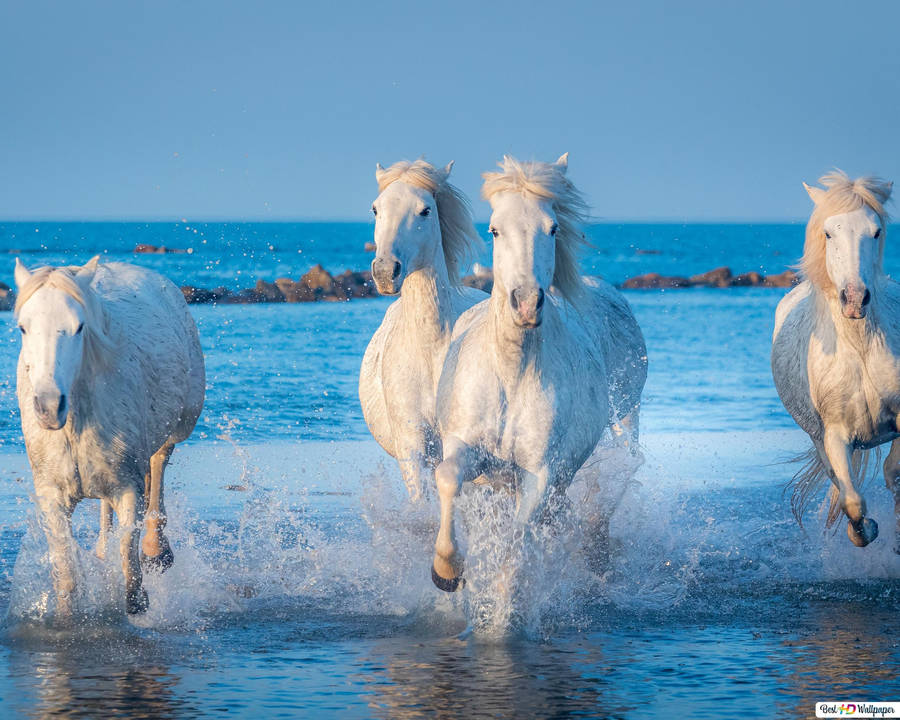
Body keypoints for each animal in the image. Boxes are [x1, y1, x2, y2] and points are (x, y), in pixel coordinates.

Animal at [13, 256, 204, 616]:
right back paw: (102, 550)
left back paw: (157, 549)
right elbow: (67, 574)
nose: (48, 407)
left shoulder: (128, 487)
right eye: (23, 327)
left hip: (179, 424)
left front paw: (139, 599)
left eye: (79, 327)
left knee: (159, 464)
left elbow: (129, 562)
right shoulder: (52, 496)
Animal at [430, 153, 648, 592]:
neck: (512, 376)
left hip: (625, 420)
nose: (527, 303)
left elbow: (517, 542)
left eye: (553, 228)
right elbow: (446, 477)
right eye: (494, 229)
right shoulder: (467, 448)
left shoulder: (539, 475)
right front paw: (447, 569)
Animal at [768, 172, 896, 548]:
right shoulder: (836, 436)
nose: (854, 299)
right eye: (828, 233)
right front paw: (866, 530)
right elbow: (852, 501)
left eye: (876, 231)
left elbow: (893, 472)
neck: (860, 347)